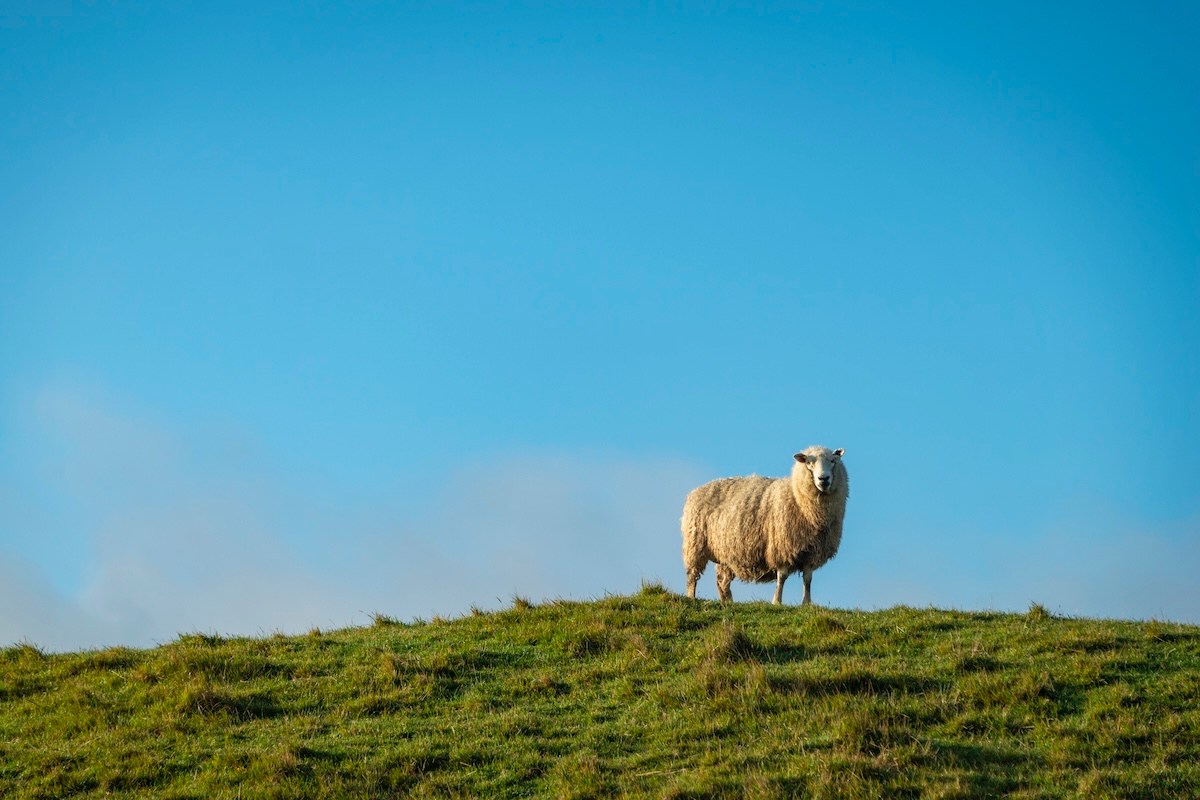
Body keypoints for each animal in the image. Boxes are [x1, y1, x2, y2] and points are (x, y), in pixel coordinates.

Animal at [681, 446, 849, 605]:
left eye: (833, 461)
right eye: (809, 463)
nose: (823, 479)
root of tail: (695, 491)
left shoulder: (812, 553)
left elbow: (807, 580)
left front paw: (807, 603)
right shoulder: (781, 548)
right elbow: (782, 577)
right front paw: (777, 601)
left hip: (725, 553)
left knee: (722, 581)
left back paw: (728, 602)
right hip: (695, 545)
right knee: (692, 574)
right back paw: (691, 597)